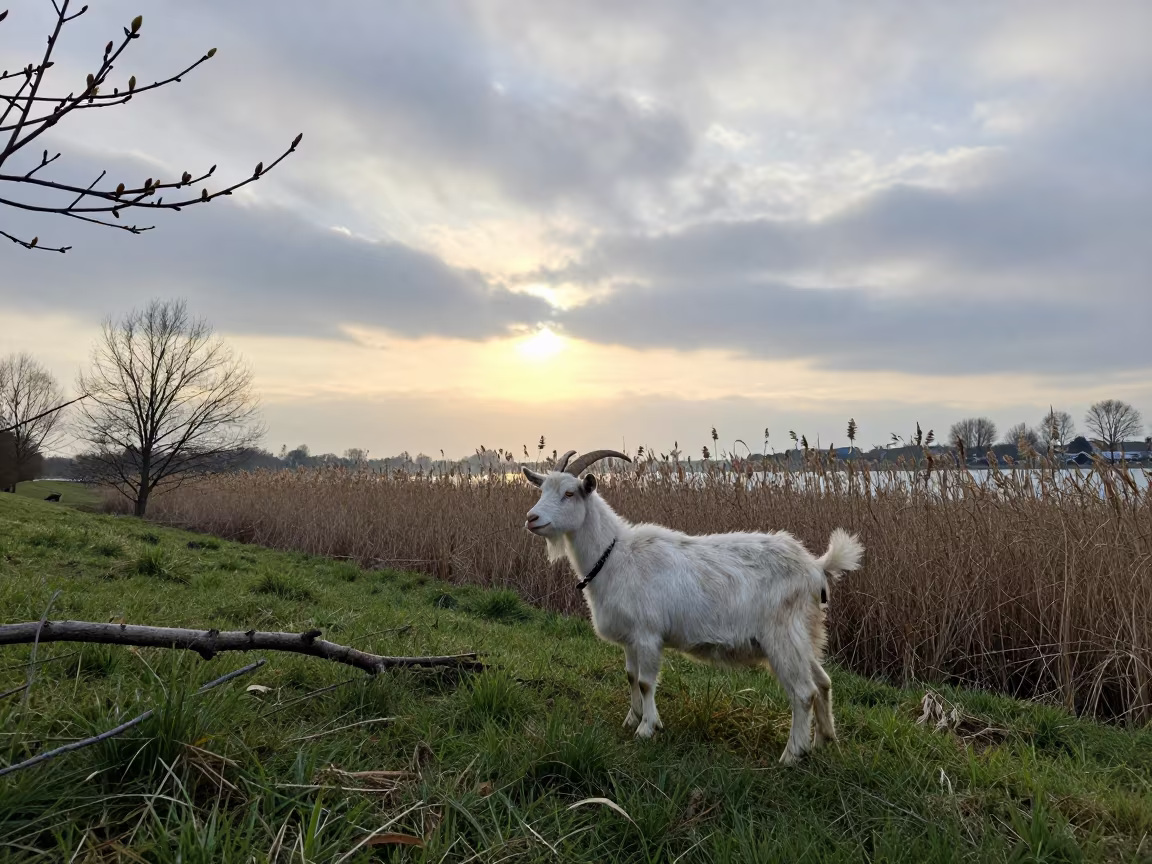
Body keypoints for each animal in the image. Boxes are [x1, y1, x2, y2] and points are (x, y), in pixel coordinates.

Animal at [523, 449, 864, 764]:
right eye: (542, 489)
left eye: (569, 493)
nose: (531, 518)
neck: (614, 555)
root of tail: (816, 567)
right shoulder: (630, 638)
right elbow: (631, 676)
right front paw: (632, 718)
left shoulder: (648, 634)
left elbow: (646, 682)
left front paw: (647, 728)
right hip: (804, 634)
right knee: (823, 682)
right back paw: (823, 740)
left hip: (782, 636)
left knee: (804, 693)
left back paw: (792, 754)